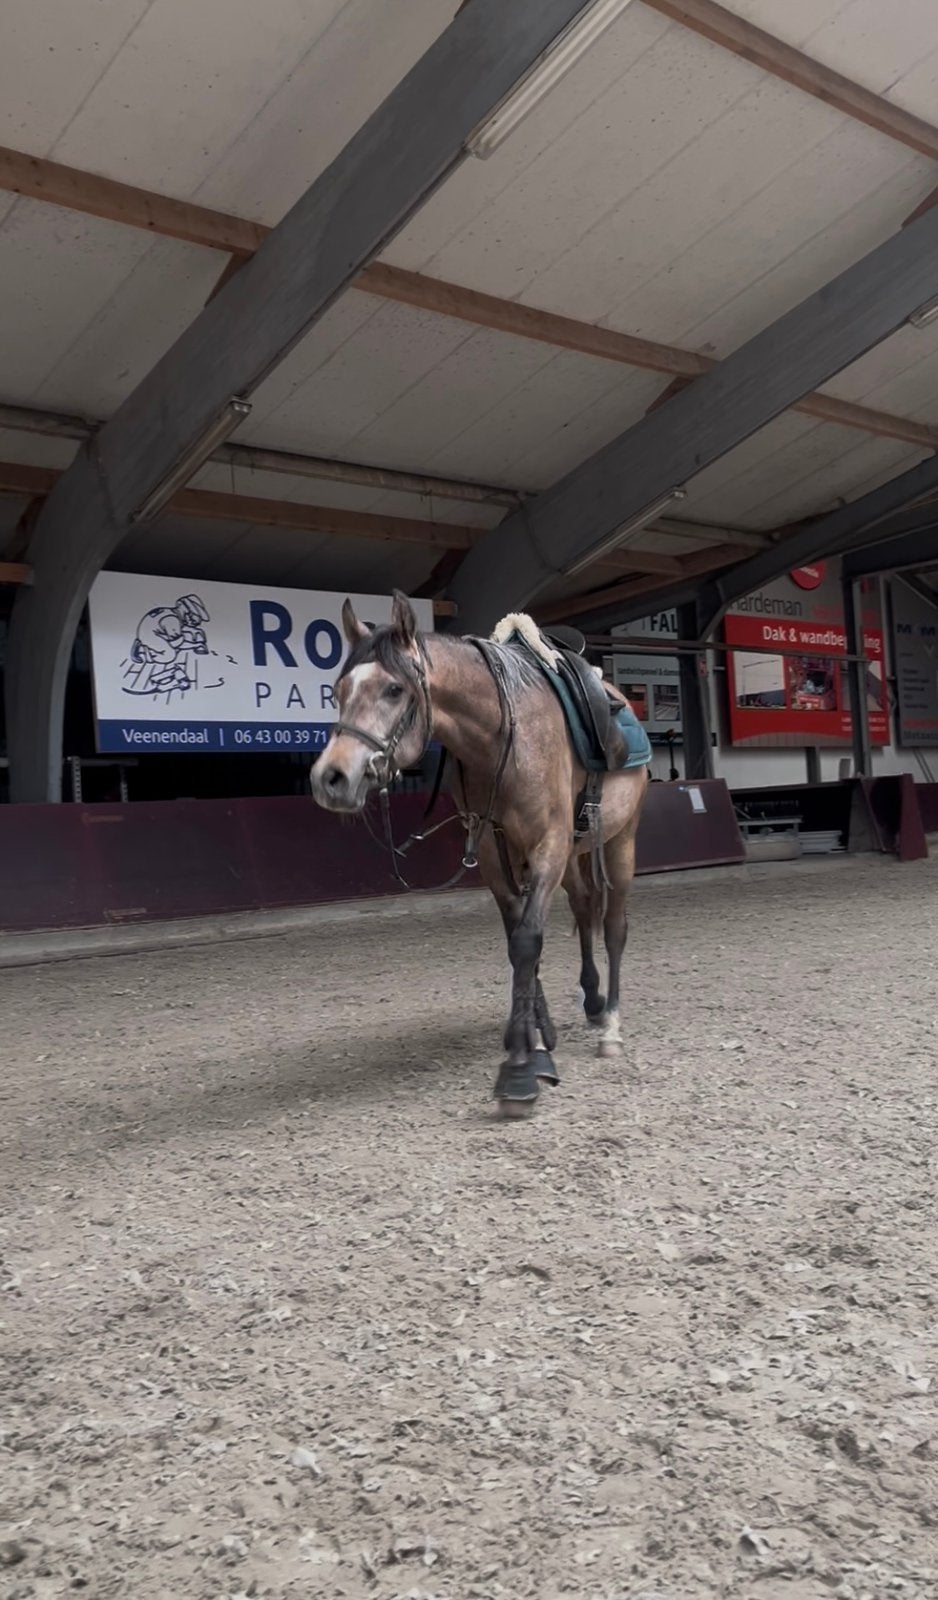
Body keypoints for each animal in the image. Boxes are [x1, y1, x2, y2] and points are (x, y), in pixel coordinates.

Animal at [309, 592, 649, 1115]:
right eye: (338, 690)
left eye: (393, 689)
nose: (331, 778)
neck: (502, 735)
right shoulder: (493, 853)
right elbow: (517, 941)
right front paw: (536, 1037)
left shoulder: (547, 846)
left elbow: (527, 940)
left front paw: (520, 1069)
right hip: (575, 854)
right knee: (584, 907)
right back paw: (592, 1001)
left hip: (619, 840)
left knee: (613, 925)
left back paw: (610, 1024)